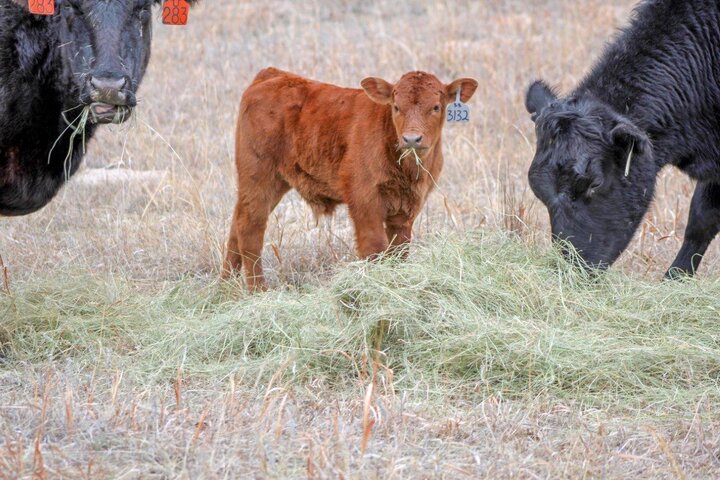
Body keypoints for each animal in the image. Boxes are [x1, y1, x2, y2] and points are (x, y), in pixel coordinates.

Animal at [223, 67, 477, 291]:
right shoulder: (364, 199)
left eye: (436, 107)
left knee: (236, 225)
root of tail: (272, 74)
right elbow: (375, 248)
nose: (412, 139)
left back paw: (226, 289)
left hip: (270, 184)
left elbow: (398, 252)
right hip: (259, 177)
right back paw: (258, 291)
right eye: (396, 107)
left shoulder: (406, 209)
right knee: (250, 228)